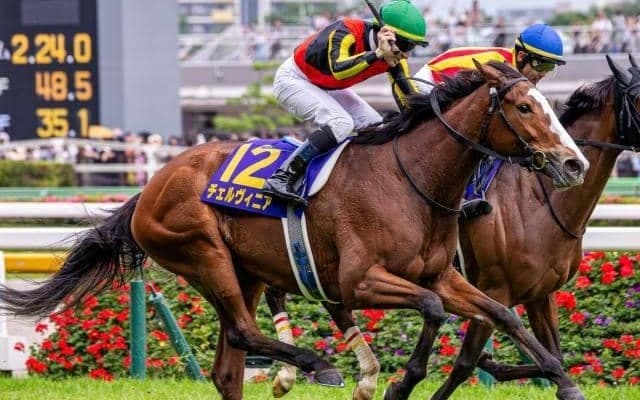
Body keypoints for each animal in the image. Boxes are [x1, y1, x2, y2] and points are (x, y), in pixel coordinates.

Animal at [0, 60, 588, 400]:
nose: (574, 162)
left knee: (228, 368)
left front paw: (563, 379)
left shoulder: (444, 274)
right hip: (203, 252)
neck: (411, 178)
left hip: (245, 271)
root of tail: (149, 187)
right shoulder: (359, 281)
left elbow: (500, 314)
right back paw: (317, 365)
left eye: (550, 106)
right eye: (524, 106)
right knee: (242, 333)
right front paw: (400, 381)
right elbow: (433, 309)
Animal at [267, 55, 637, 400]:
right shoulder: (495, 285)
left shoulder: (540, 294)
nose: (575, 165)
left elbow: (550, 355)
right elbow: (467, 360)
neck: (540, 200)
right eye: (524, 108)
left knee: (319, 297)